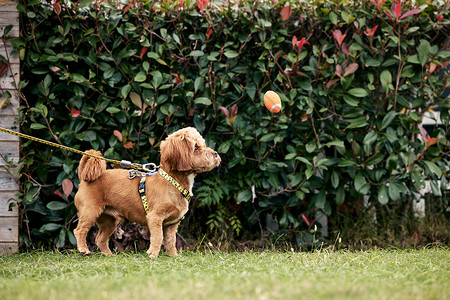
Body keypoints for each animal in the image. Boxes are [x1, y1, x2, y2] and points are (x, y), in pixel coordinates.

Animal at [73, 127, 221, 258]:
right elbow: (158, 237)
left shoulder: (172, 224)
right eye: (195, 148)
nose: (215, 153)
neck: (173, 181)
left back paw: (108, 255)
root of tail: (84, 179)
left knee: (100, 239)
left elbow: (170, 241)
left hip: (109, 220)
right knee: (79, 230)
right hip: (90, 211)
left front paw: (173, 256)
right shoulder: (155, 217)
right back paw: (84, 249)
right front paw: (152, 254)